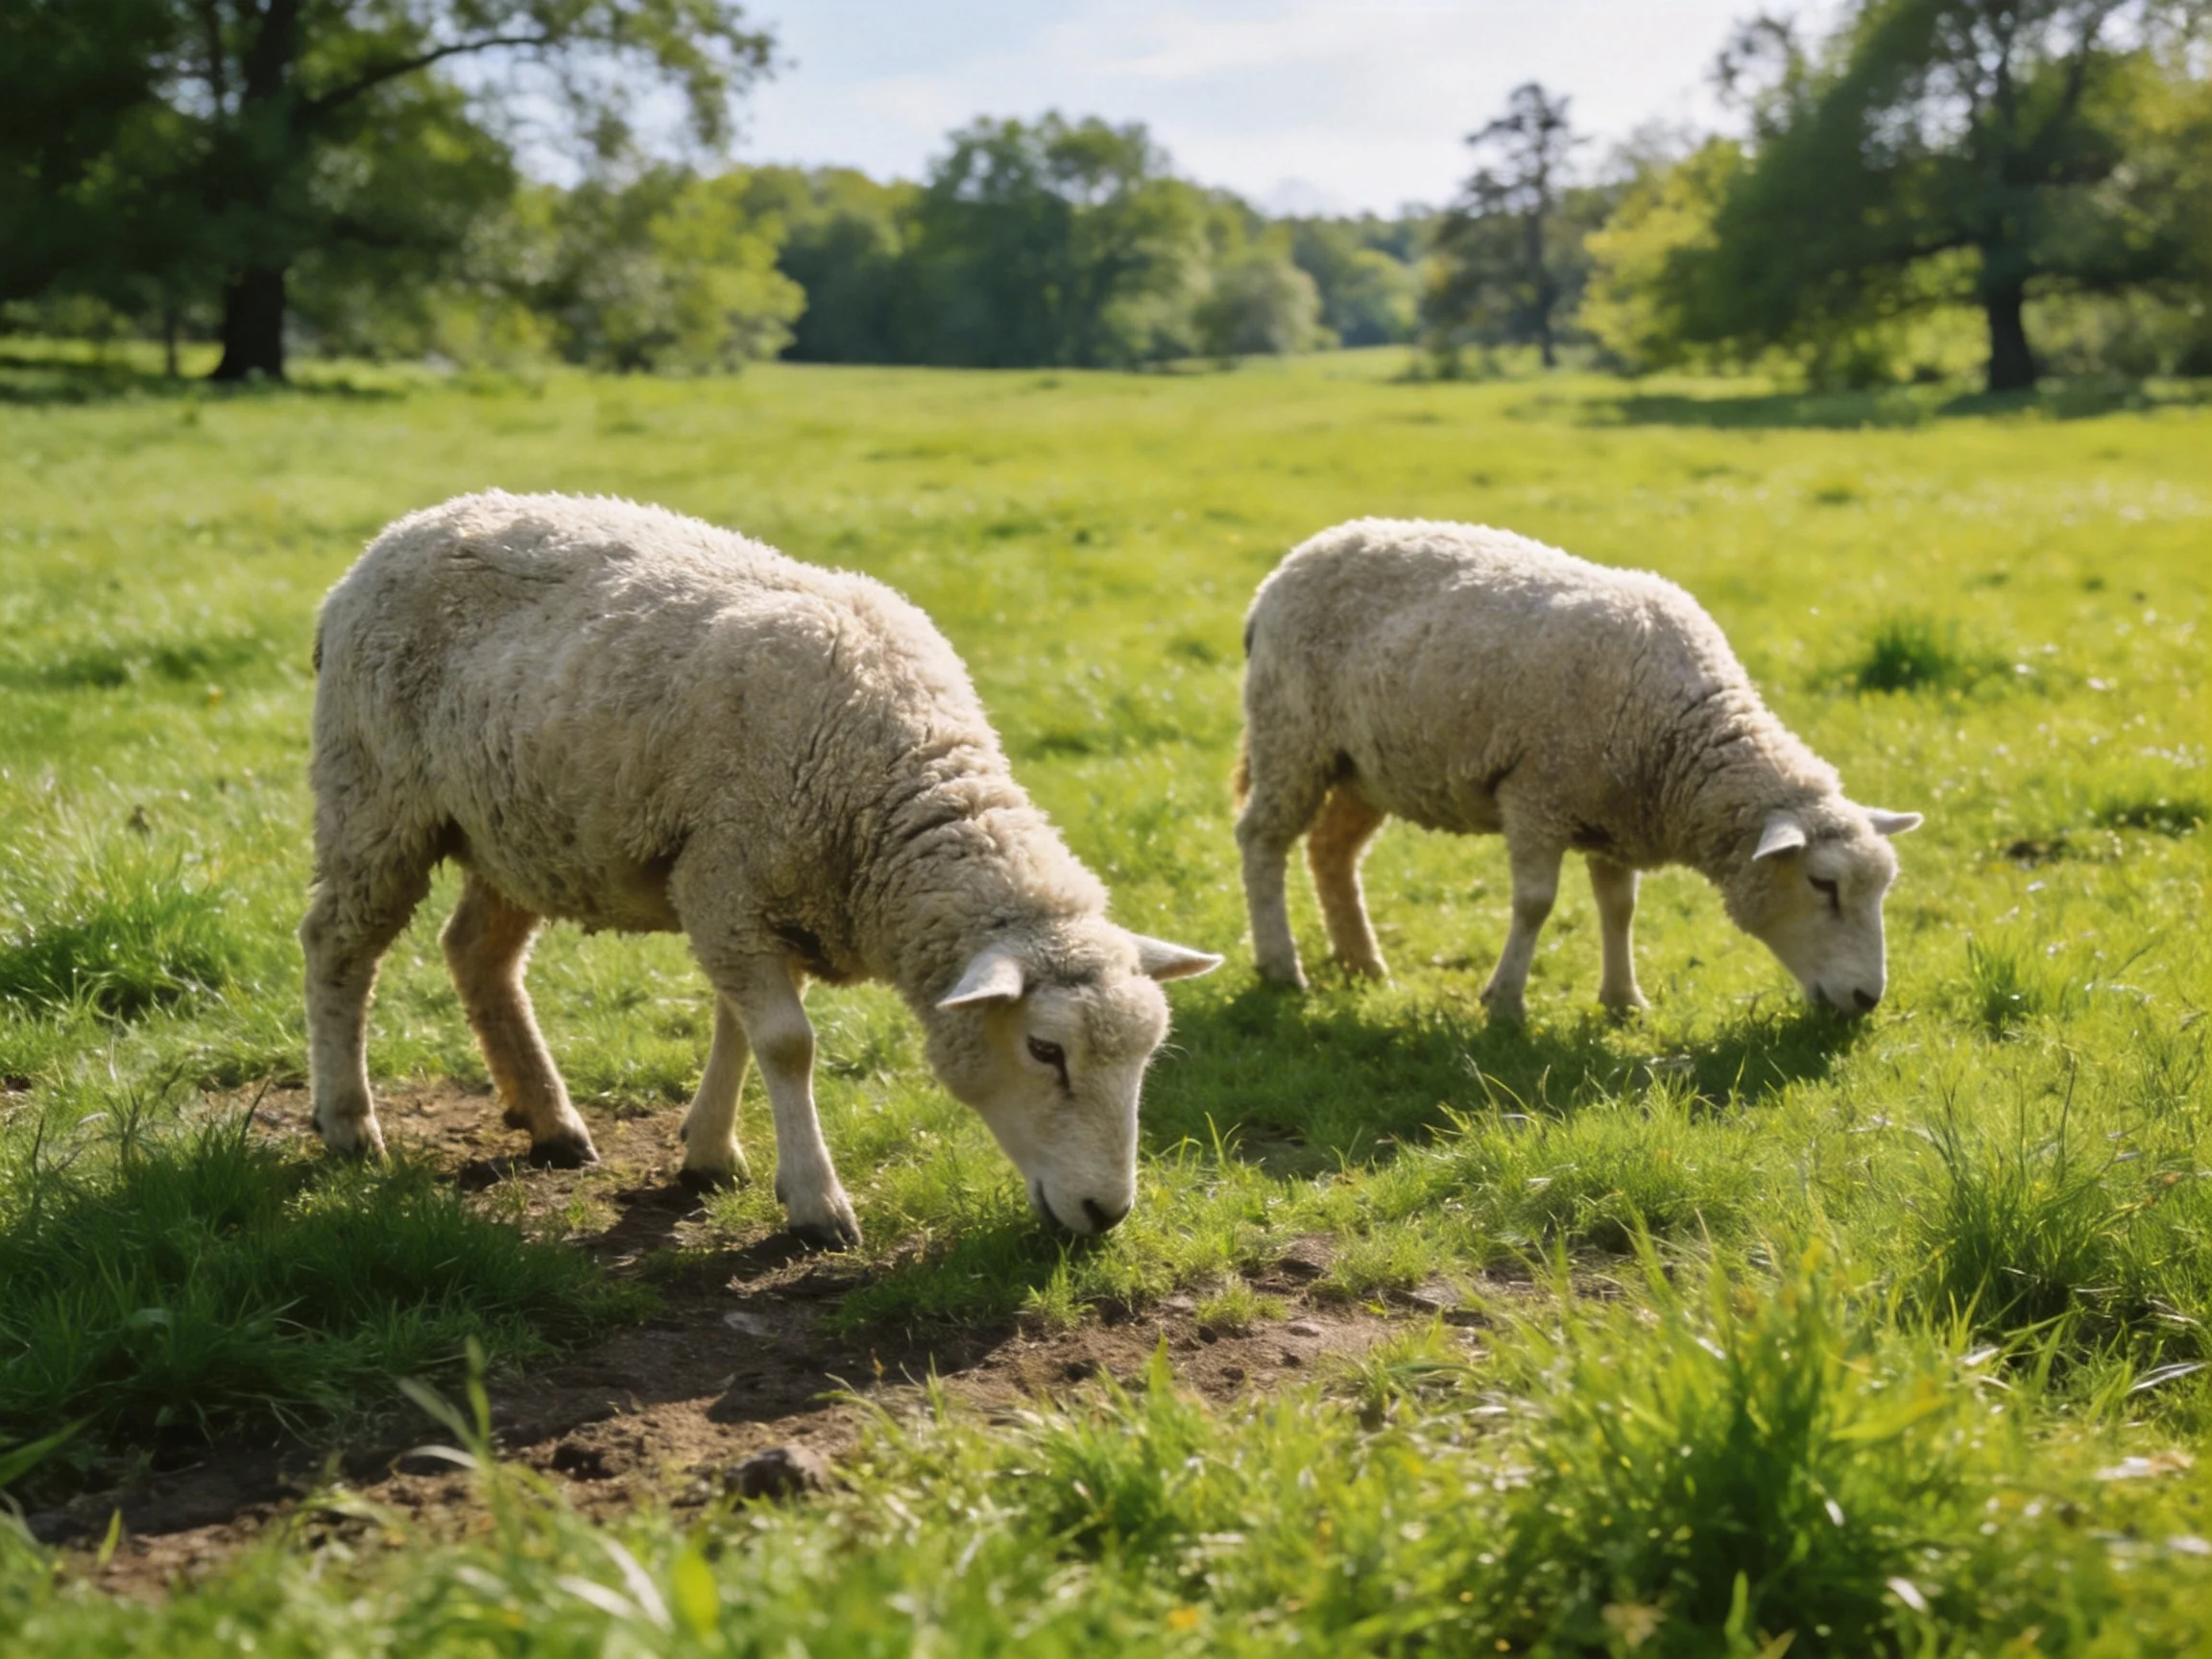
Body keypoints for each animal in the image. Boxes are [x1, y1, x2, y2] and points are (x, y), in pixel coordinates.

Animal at [301, 491, 1219, 1247]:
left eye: (1147, 1057)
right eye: (1044, 1050)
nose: (1108, 1212)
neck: (893, 781)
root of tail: (396, 534)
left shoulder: (769, 900)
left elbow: (737, 1029)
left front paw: (709, 1151)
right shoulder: (724, 881)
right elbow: (785, 1043)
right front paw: (816, 1201)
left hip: (512, 827)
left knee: (476, 954)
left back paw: (551, 1121)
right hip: (373, 795)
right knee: (336, 946)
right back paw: (349, 1123)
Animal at [1234, 519, 1921, 1020]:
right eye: (1823, 884)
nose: (1868, 1000)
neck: (1677, 734)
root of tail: (1284, 569)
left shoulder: (1615, 814)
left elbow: (1619, 909)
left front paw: (1624, 1001)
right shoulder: (1538, 794)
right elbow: (1536, 904)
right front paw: (1505, 1002)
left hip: (1363, 765)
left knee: (1331, 851)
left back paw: (1363, 963)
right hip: (1290, 735)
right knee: (1261, 839)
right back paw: (1282, 967)